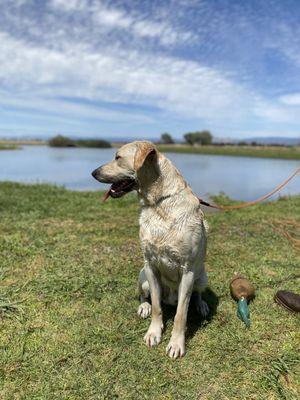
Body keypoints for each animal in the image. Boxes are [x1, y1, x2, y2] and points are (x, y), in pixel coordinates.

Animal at [92, 141, 209, 360]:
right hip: (143, 276)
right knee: (144, 296)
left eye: (118, 157)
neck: (159, 202)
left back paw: (201, 304)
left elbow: (181, 313)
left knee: (195, 295)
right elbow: (156, 306)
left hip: (202, 277)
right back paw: (143, 307)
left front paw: (176, 344)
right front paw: (154, 332)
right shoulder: (150, 266)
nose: (93, 172)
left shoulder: (188, 271)